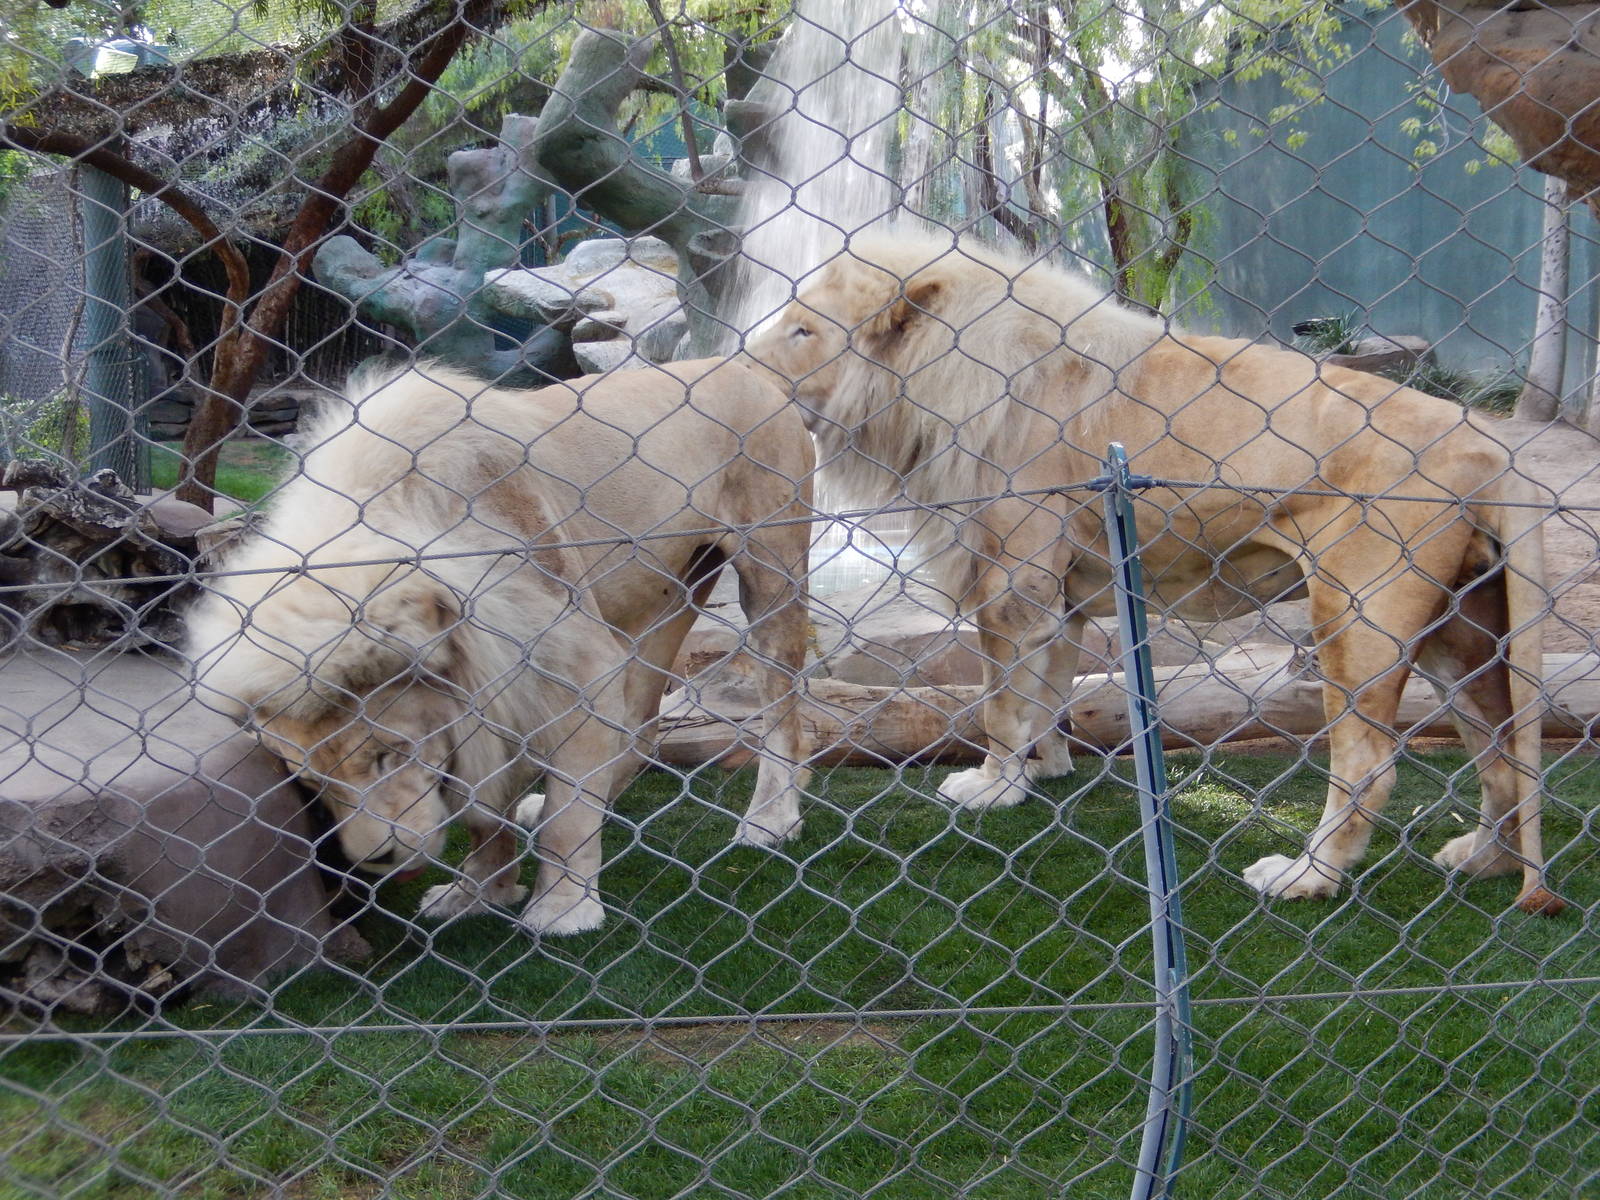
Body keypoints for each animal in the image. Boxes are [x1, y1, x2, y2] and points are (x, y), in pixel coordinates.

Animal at [188, 359, 815, 935]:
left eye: (390, 754)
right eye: (313, 783)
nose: (379, 861)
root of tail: (745, 365)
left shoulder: (572, 662)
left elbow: (566, 819)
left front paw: (562, 912)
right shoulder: (499, 680)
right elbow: (489, 810)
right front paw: (478, 893)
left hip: (769, 573)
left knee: (781, 700)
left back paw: (770, 819)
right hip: (666, 592)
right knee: (639, 722)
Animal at [745, 235, 1562, 915]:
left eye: (802, 331)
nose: (739, 364)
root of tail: (1491, 445)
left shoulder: (1011, 581)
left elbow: (1001, 701)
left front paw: (990, 786)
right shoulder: (1061, 592)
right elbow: (1048, 691)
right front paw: (1045, 772)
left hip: (1357, 615)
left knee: (1369, 761)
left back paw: (1305, 878)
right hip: (1461, 630)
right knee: (1502, 753)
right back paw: (1481, 860)